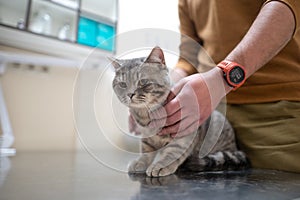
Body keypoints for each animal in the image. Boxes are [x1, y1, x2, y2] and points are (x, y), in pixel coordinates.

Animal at [110, 46, 248, 177]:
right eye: (123, 84)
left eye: (142, 82)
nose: (130, 94)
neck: (146, 114)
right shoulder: (146, 136)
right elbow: (147, 150)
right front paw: (141, 162)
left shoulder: (185, 134)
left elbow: (173, 151)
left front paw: (161, 165)